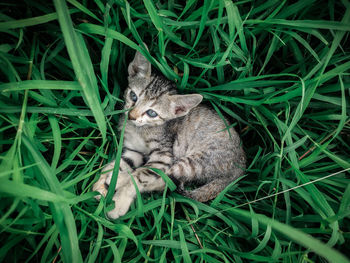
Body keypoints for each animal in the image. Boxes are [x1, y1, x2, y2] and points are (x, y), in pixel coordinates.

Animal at [93, 48, 246, 221]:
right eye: (133, 96)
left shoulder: (164, 155)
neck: (140, 130)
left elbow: (140, 174)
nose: (131, 116)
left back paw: (119, 183)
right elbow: (120, 163)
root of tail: (241, 168)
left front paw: (118, 200)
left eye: (152, 113)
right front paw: (105, 179)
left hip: (195, 160)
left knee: (165, 179)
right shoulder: (134, 151)